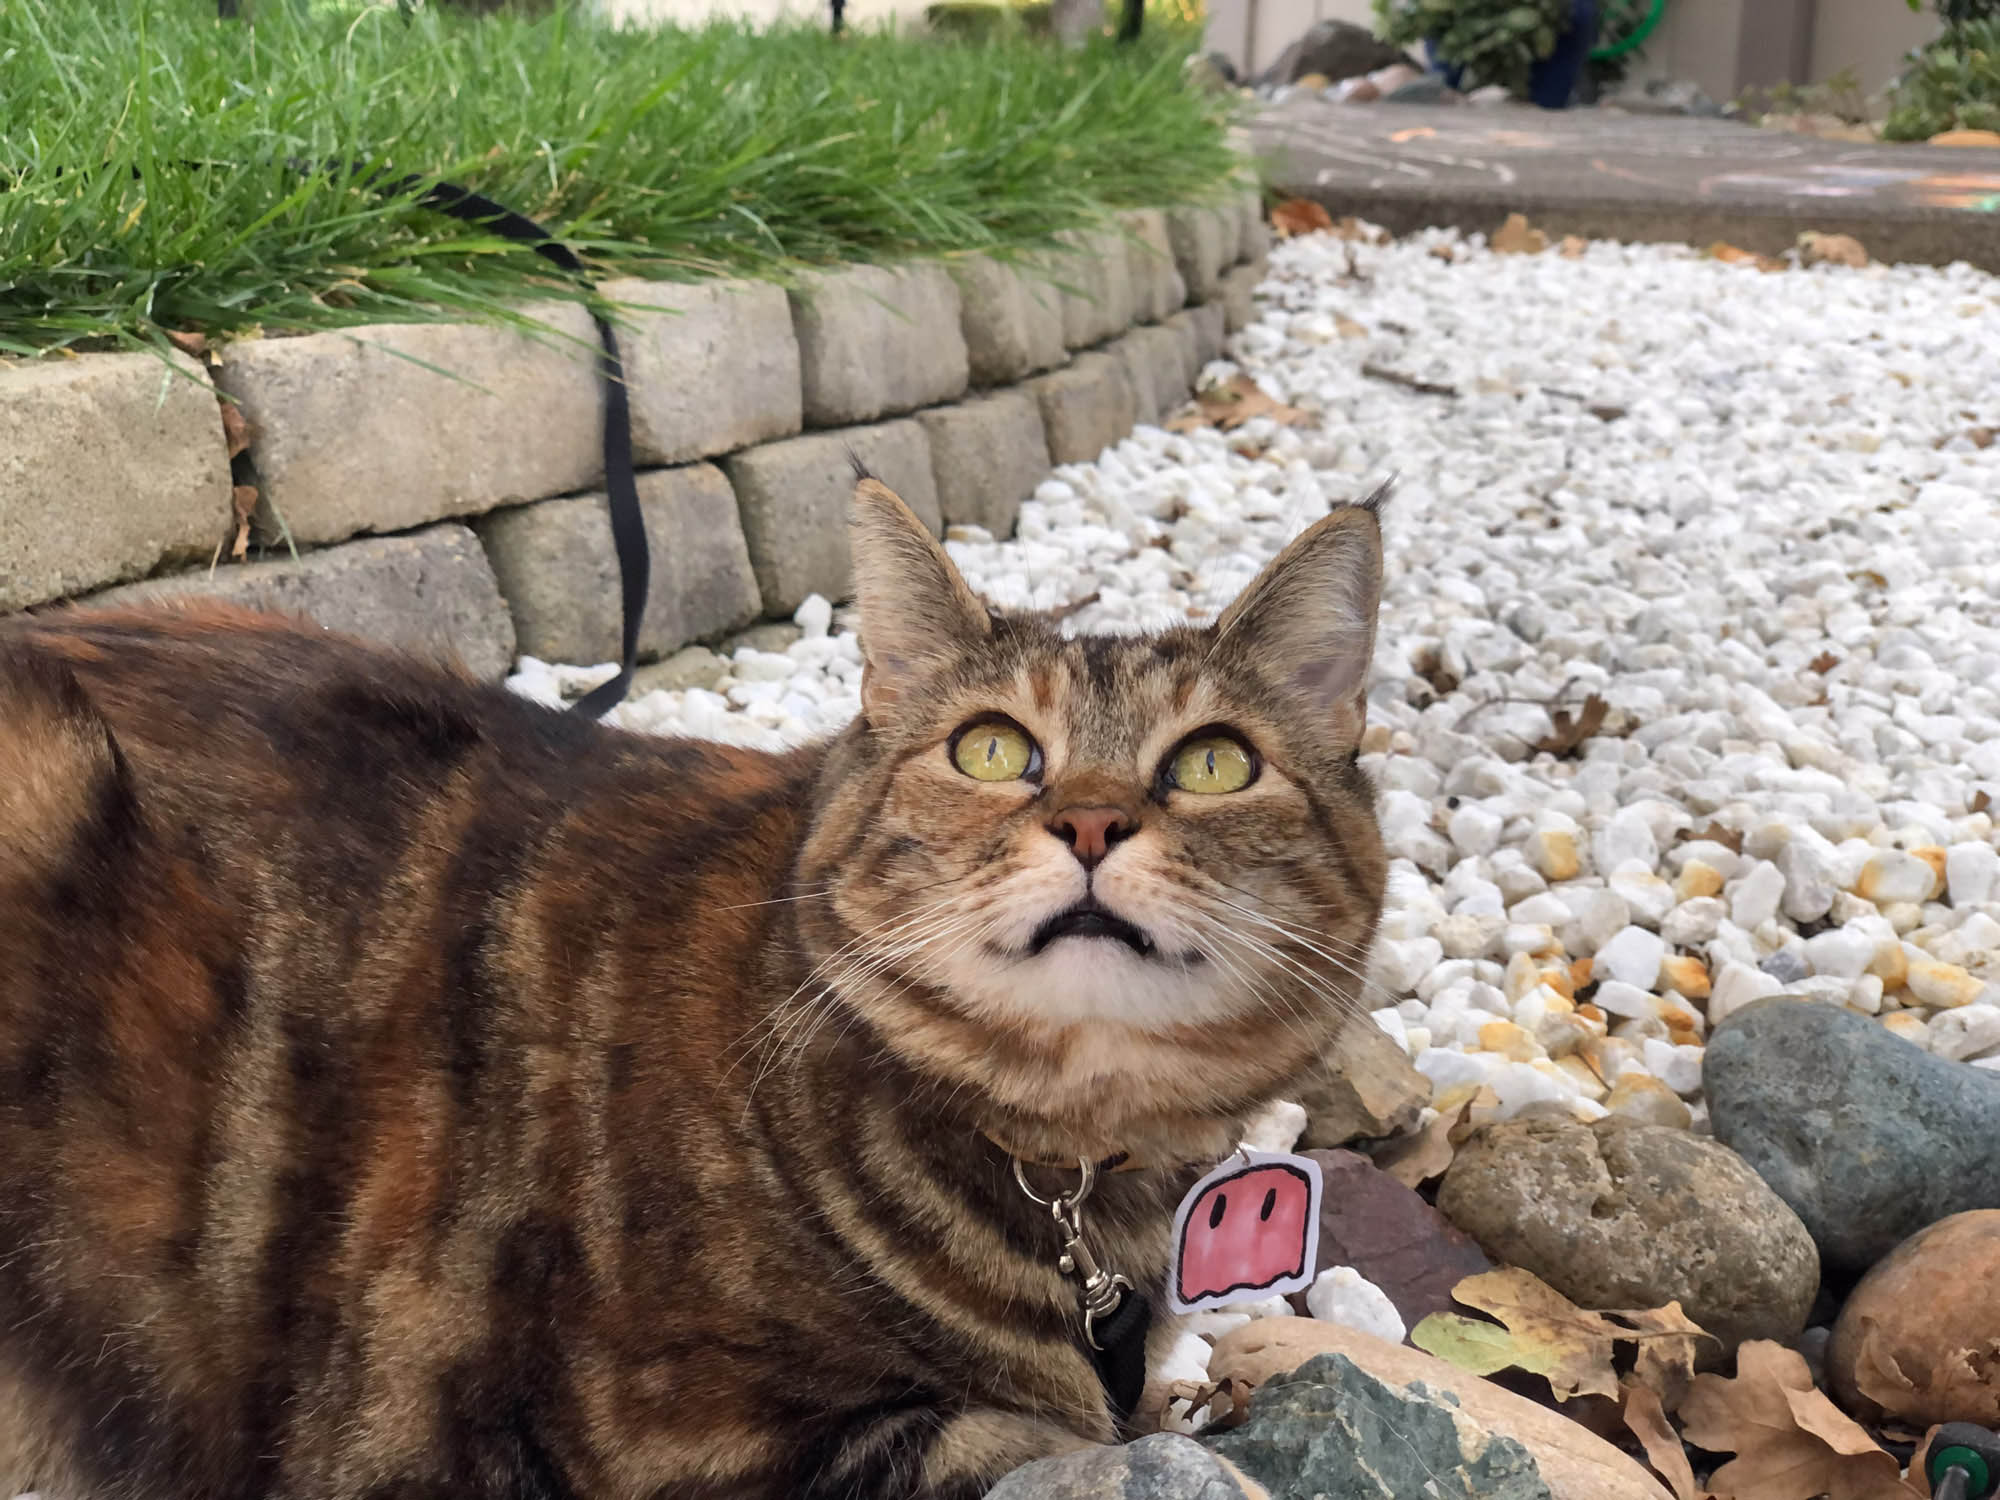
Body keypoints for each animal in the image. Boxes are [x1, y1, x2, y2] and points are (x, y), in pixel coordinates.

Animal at [0, 476, 1387, 1500]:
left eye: (1212, 764)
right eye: (992, 749)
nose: (1092, 824)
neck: (1072, 1185)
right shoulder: (672, 1438)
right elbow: (1035, 1441)